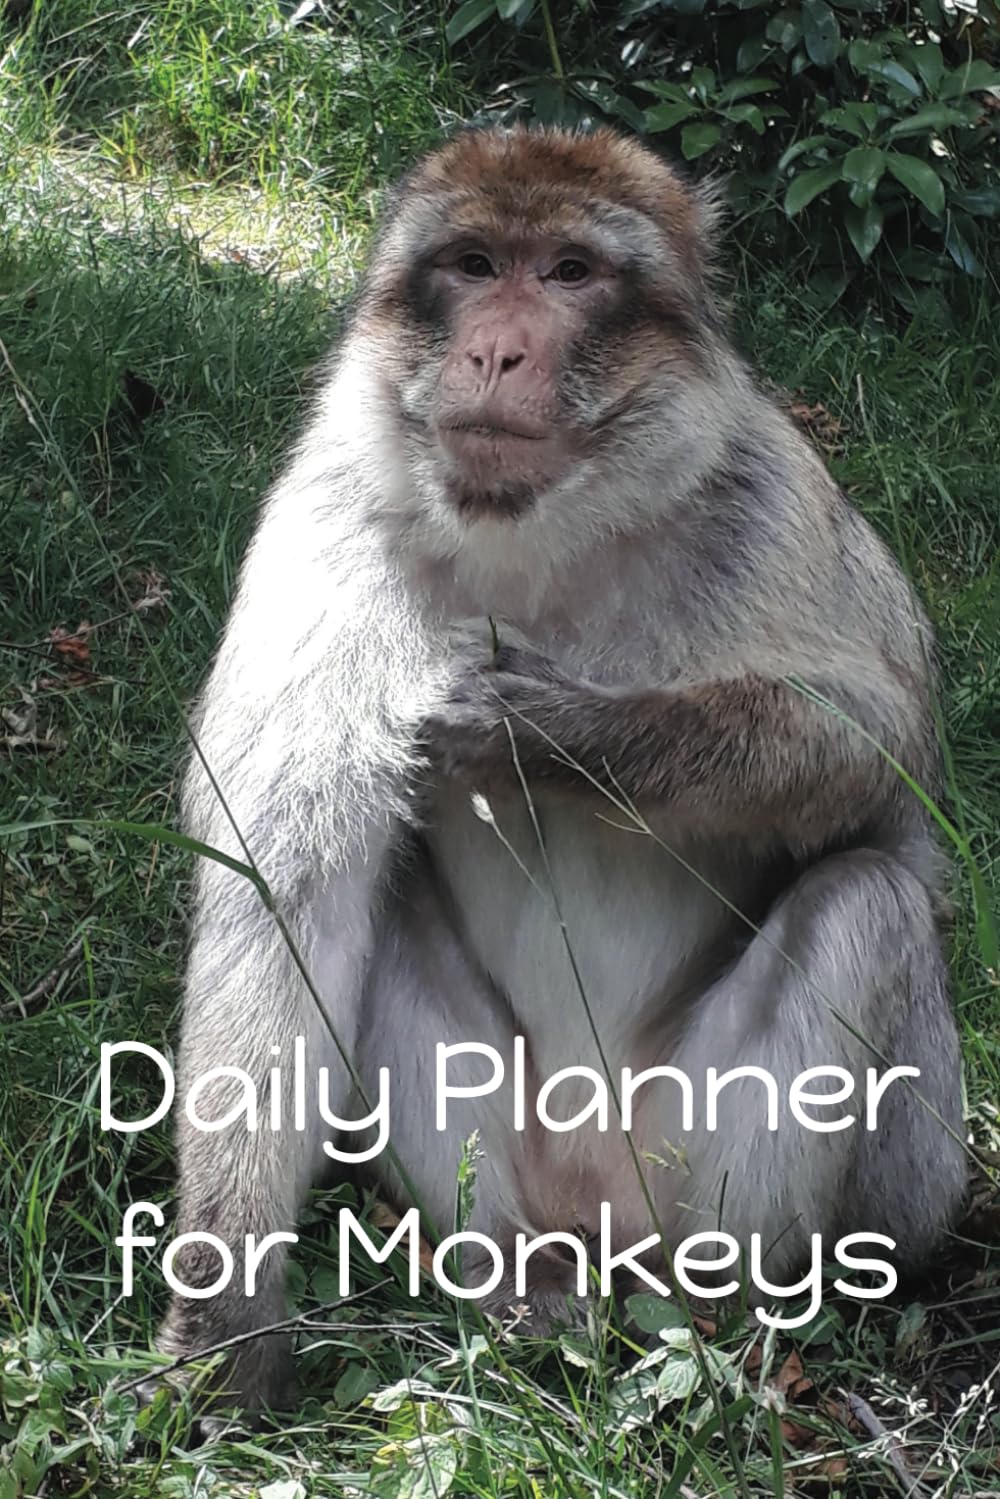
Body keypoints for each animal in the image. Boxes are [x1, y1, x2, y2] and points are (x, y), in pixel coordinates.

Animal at [153, 125, 967, 1414]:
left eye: (572, 273)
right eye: (475, 264)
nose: (497, 347)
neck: (533, 543)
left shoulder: (766, 500)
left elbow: (884, 771)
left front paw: (551, 734)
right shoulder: (325, 525)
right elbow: (284, 885)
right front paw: (225, 1314)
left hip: (788, 1165)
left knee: (867, 901)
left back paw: (724, 1313)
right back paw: (512, 1283)